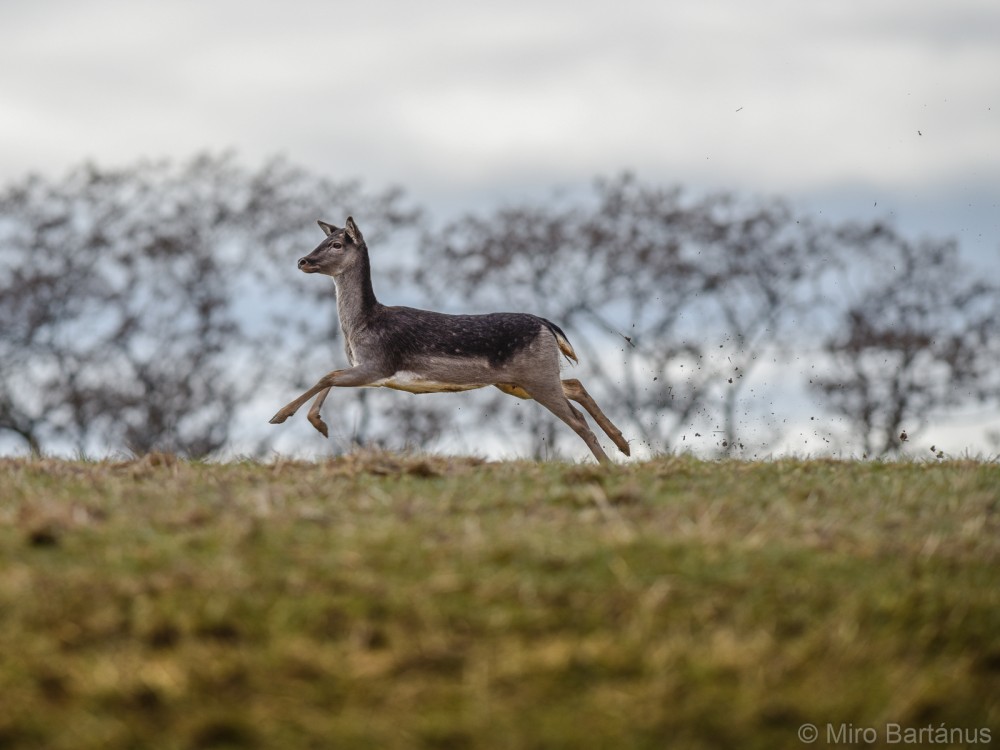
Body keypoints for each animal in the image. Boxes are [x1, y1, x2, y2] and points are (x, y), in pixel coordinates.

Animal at [270, 217, 628, 464]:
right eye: (324, 239)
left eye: (337, 245)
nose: (303, 260)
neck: (361, 327)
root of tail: (548, 326)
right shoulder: (370, 370)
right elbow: (330, 375)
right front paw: (318, 424)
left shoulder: (379, 364)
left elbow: (327, 374)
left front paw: (284, 416)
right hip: (519, 382)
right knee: (576, 384)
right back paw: (623, 444)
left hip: (535, 376)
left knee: (577, 419)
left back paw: (610, 464)